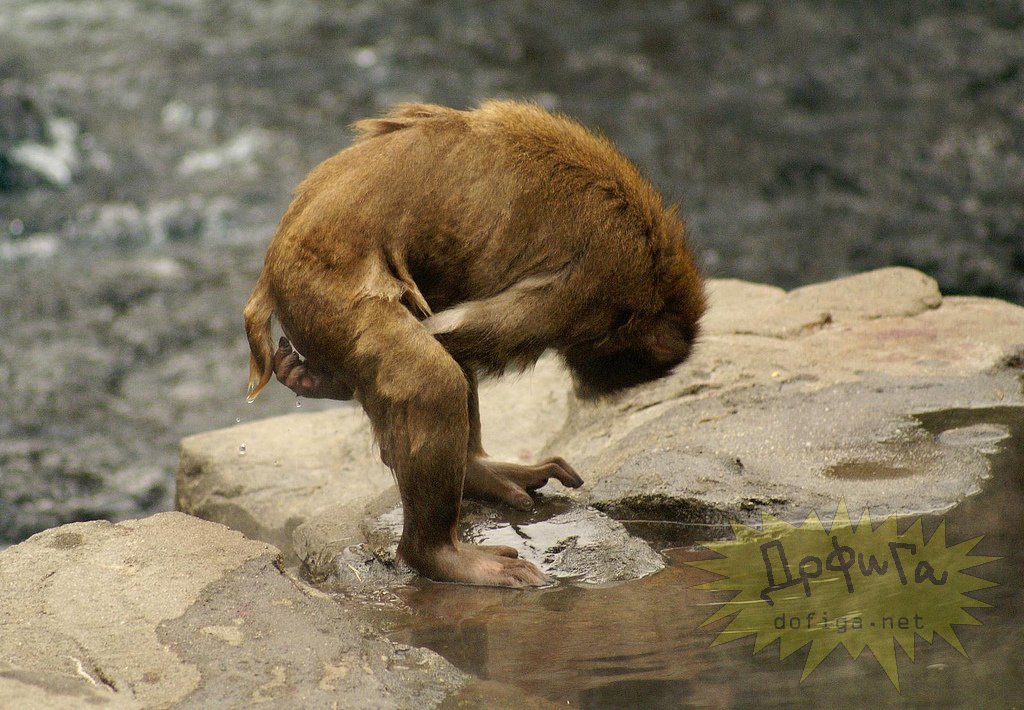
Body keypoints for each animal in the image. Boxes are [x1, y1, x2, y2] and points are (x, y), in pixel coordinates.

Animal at [241, 99, 704, 586]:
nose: (585, 387)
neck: (650, 264)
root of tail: (272, 264)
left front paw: (319, 380)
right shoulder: (589, 283)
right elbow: (469, 333)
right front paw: (326, 382)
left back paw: (475, 470)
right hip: (320, 291)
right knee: (432, 378)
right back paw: (436, 553)